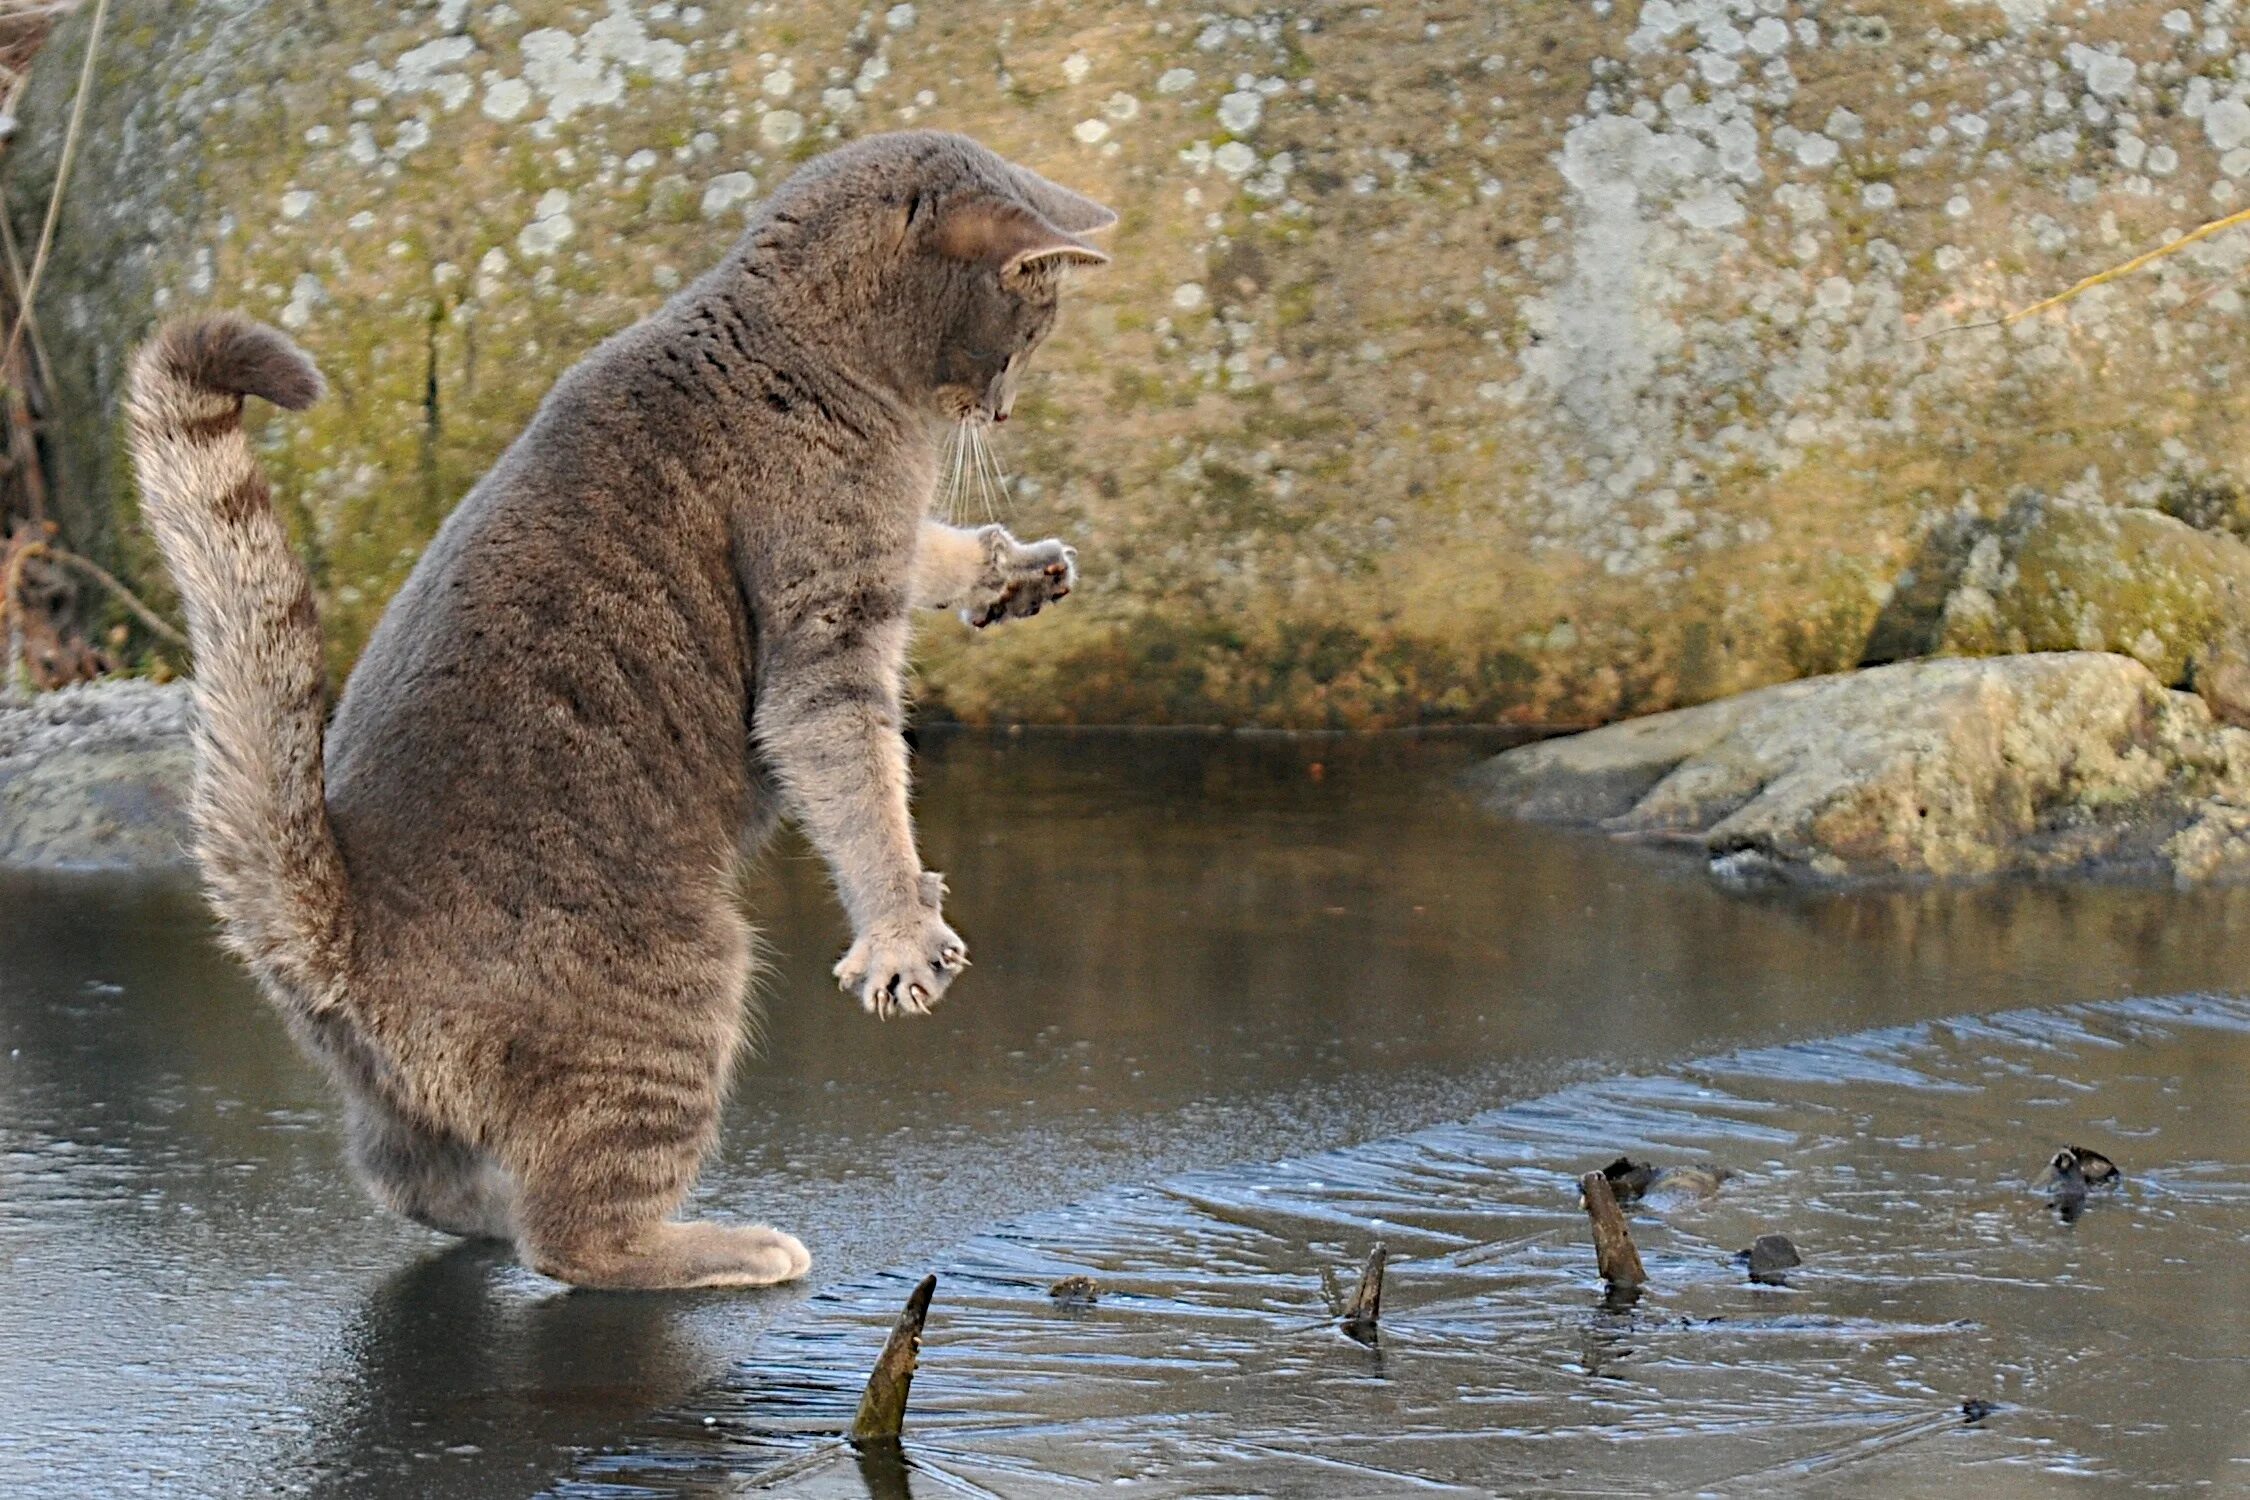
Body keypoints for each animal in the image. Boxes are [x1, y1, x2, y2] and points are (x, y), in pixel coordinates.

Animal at [123, 129, 1116, 1295]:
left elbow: (933, 549)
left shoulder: (878, 547)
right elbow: (863, 791)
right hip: (682, 982)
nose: (1003, 409)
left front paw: (1011, 571)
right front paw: (901, 931)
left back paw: (487, 1212)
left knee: (411, 1180)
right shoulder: (825, 625)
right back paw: (726, 1245)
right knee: (579, 1237)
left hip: (407, 1095)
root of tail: (331, 923)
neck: (800, 342)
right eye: (1026, 328)